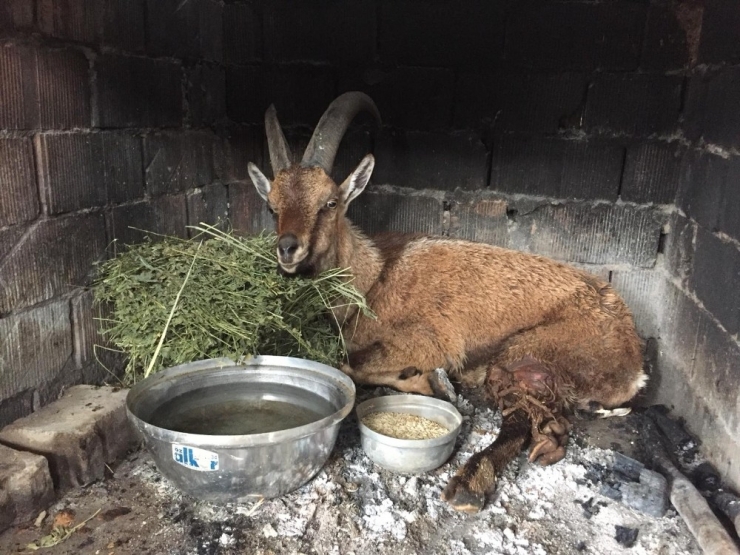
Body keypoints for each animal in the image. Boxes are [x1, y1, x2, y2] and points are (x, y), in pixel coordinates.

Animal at [246, 91, 644, 512]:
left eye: (330, 202)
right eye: (272, 206)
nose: (288, 248)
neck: (373, 278)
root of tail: (633, 361)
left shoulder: (429, 339)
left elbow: (351, 364)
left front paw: (430, 381)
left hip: (526, 354)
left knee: (518, 419)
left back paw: (471, 482)